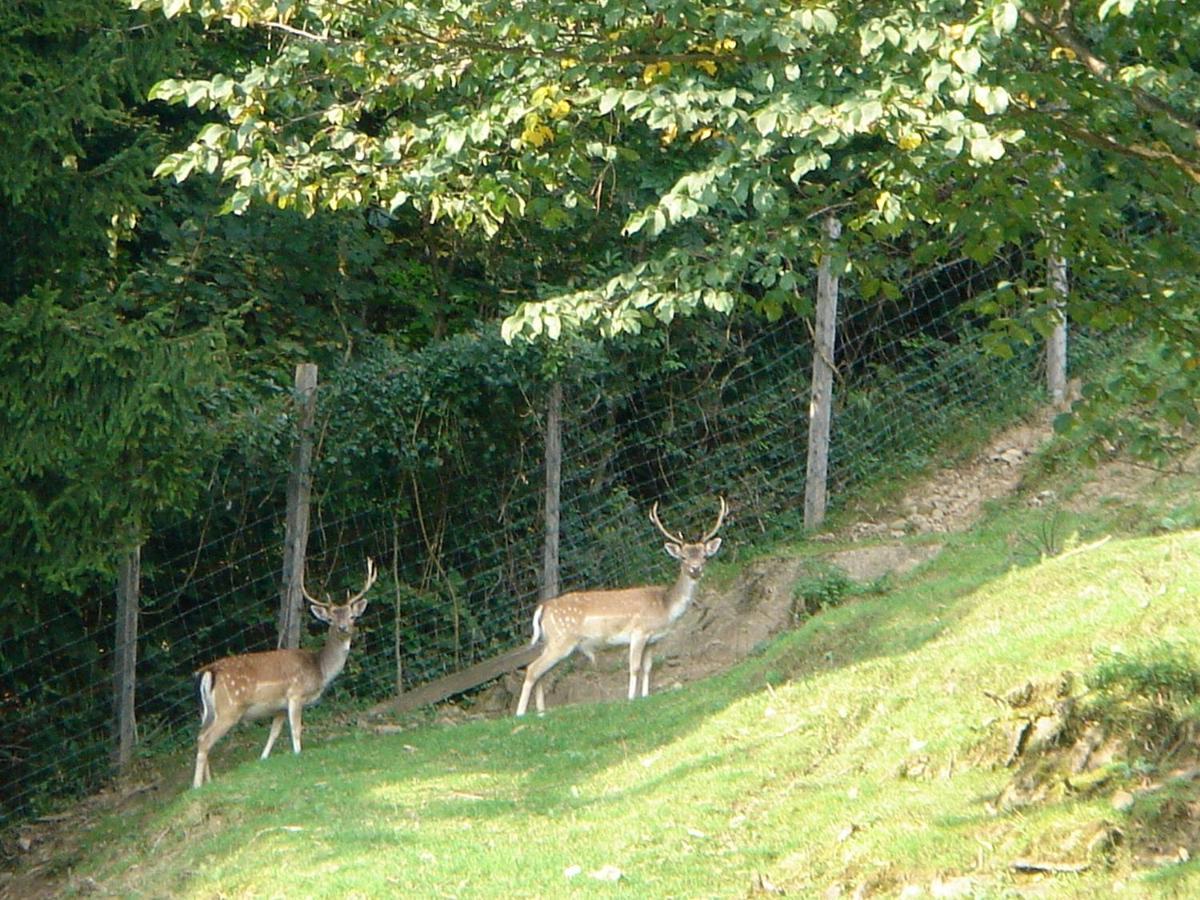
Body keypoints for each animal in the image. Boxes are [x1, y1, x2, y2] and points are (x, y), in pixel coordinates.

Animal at [192, 556, 374, 787]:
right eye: (331, 619)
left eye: (352, 616)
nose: (343, 628)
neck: (319, 669)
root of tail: (208, 672)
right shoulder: (295, 694)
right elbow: (295, 729)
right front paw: (298, 754)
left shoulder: (278, 706)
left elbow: (274, 732)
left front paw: (263, 758)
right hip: (229, 709)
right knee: (204, 740)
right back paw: (197, 785)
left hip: (207, 712)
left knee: (201, 736)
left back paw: (209, 781)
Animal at [513, 496, 724, 715]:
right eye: (683, 557)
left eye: (704, 556)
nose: (695, 569)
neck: (665, 607)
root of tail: (543, 608)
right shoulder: (639, 632)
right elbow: (634, 667)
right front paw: (631, 698)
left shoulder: (653, 640)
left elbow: (648, 667)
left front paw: (645, 696)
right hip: (561, 640)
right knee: (532, 669)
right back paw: (520, 714)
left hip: (551, 641)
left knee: (541, 672)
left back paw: (541, 712)